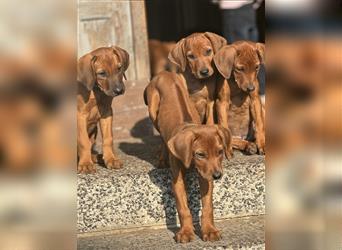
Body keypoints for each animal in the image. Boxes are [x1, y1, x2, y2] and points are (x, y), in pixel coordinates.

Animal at [143, 71, 231, 243]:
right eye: (200, 154)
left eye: (219, 152)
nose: (218, 176)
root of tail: (164, 72)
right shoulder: (177, 179)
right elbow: (183, 207)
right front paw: (185, 232)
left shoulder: (205, 175)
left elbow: (208, 206)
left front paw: (209, 230)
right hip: (152, 109)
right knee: (161, 135)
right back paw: (162, 158)